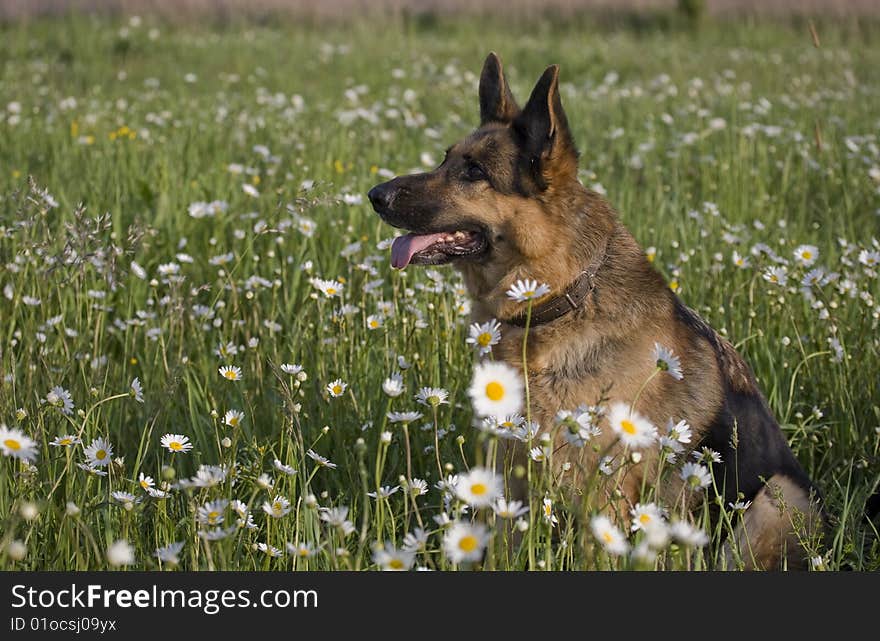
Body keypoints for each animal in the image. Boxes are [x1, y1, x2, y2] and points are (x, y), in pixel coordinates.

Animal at [368, 53, 820, 564]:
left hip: (775, 500)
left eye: (474, 172)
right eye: (445, 159)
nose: (375, 195)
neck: (559, 302)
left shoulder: (604, 497)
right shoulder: (509, 477)